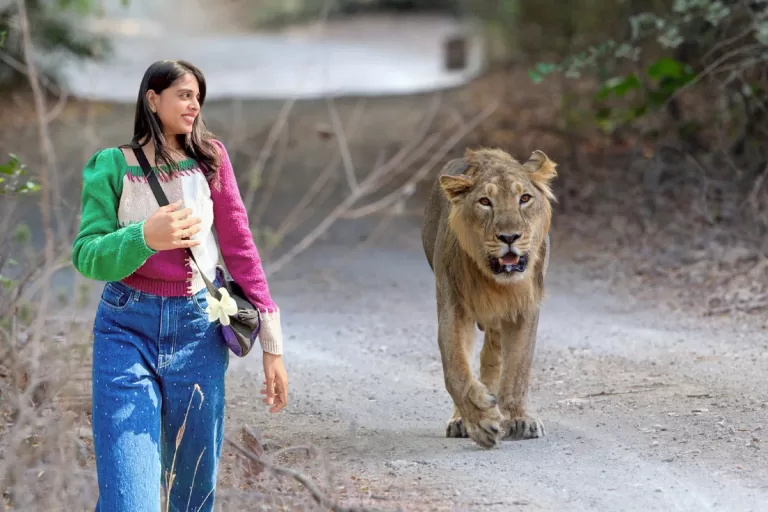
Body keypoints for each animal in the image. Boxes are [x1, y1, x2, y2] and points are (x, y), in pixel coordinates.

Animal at [421, 147, 557, 449]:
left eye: (524, 198)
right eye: (485, 202)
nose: (509, 237)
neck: (497, 283)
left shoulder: (524, 309)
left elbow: (517, 367)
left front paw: (517, 418)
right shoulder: (452, 307)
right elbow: (456, 371)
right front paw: (481, 422)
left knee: (492, 356)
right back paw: (461, 420)